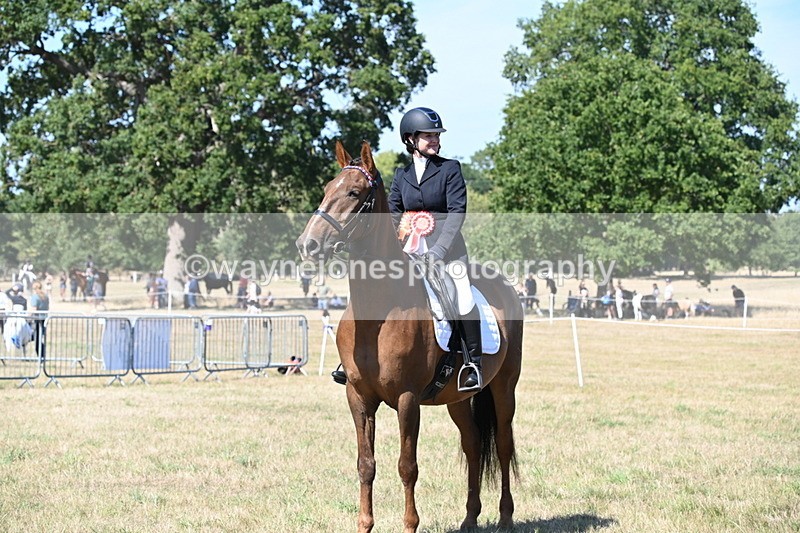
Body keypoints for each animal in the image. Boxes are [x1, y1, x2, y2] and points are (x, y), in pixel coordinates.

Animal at [296, 141, 524, 532]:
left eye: (354, 193)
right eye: (326, 189)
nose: (306, 245)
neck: (378, 312)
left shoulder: (407, 398)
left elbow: (407, 466)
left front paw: (409, 524)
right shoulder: (358, 397)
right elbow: (366, 464)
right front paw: (365, 525)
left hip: (503, 387)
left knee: (503, 444)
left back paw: (506, 517)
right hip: (457, 398)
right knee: (473, 444)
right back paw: (470, 518)